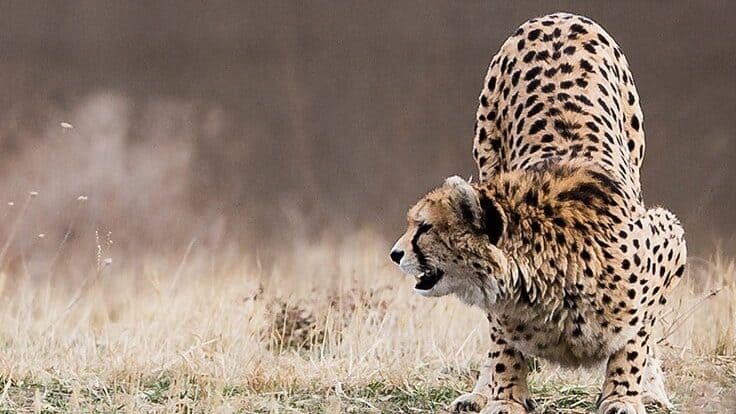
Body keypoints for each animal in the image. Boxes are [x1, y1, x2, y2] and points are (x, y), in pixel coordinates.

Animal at [390, 12, 686, 414]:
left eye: (424, 227)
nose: (395, 253)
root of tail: (557, 16)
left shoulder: (667, 239)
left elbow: (636, 337)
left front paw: (624, 396)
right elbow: (502, 343)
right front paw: (505, 397)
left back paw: (651, 392)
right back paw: (479, 393)